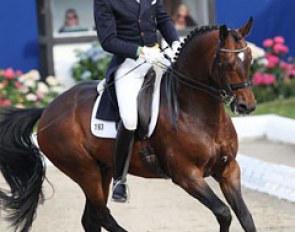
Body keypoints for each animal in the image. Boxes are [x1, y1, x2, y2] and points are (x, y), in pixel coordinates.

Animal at [0, 18, 256, 232]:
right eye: (227, 63)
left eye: (250, 58)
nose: (247, 106)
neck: (197, 112)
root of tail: (47, 111)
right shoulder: (187, 175)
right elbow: (223, 212)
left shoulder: (229, 169)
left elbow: (245, 216)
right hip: (84, 171)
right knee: (101, 215)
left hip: (103, 169)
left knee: (91, 219)